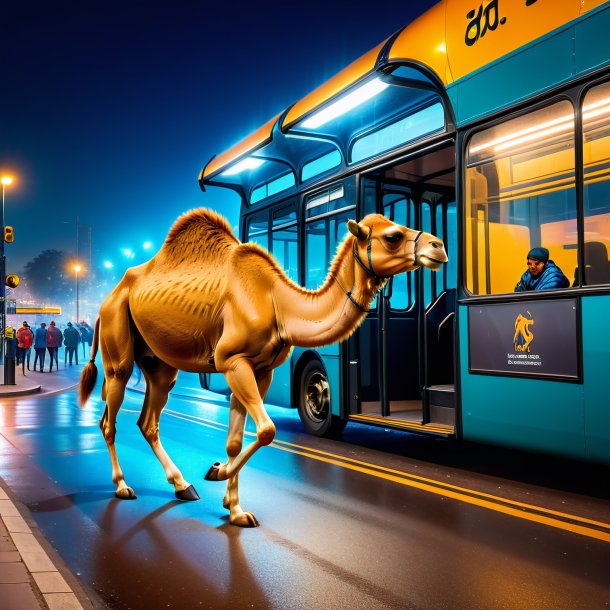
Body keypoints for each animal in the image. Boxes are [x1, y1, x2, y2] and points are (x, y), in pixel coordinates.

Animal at [78, 207, 446, 524]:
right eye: (393, 236)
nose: (439, 246)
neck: (277, 303)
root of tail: (109, 298)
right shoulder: (232, 361)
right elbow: (267, 430)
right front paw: (217, 472)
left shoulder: (262, 369)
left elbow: (236, 440)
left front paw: (235, 509)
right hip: (118, 343)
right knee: (110, 416)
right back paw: (123, 486)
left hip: (159, 364)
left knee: (148, 419)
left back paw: (183, 486)